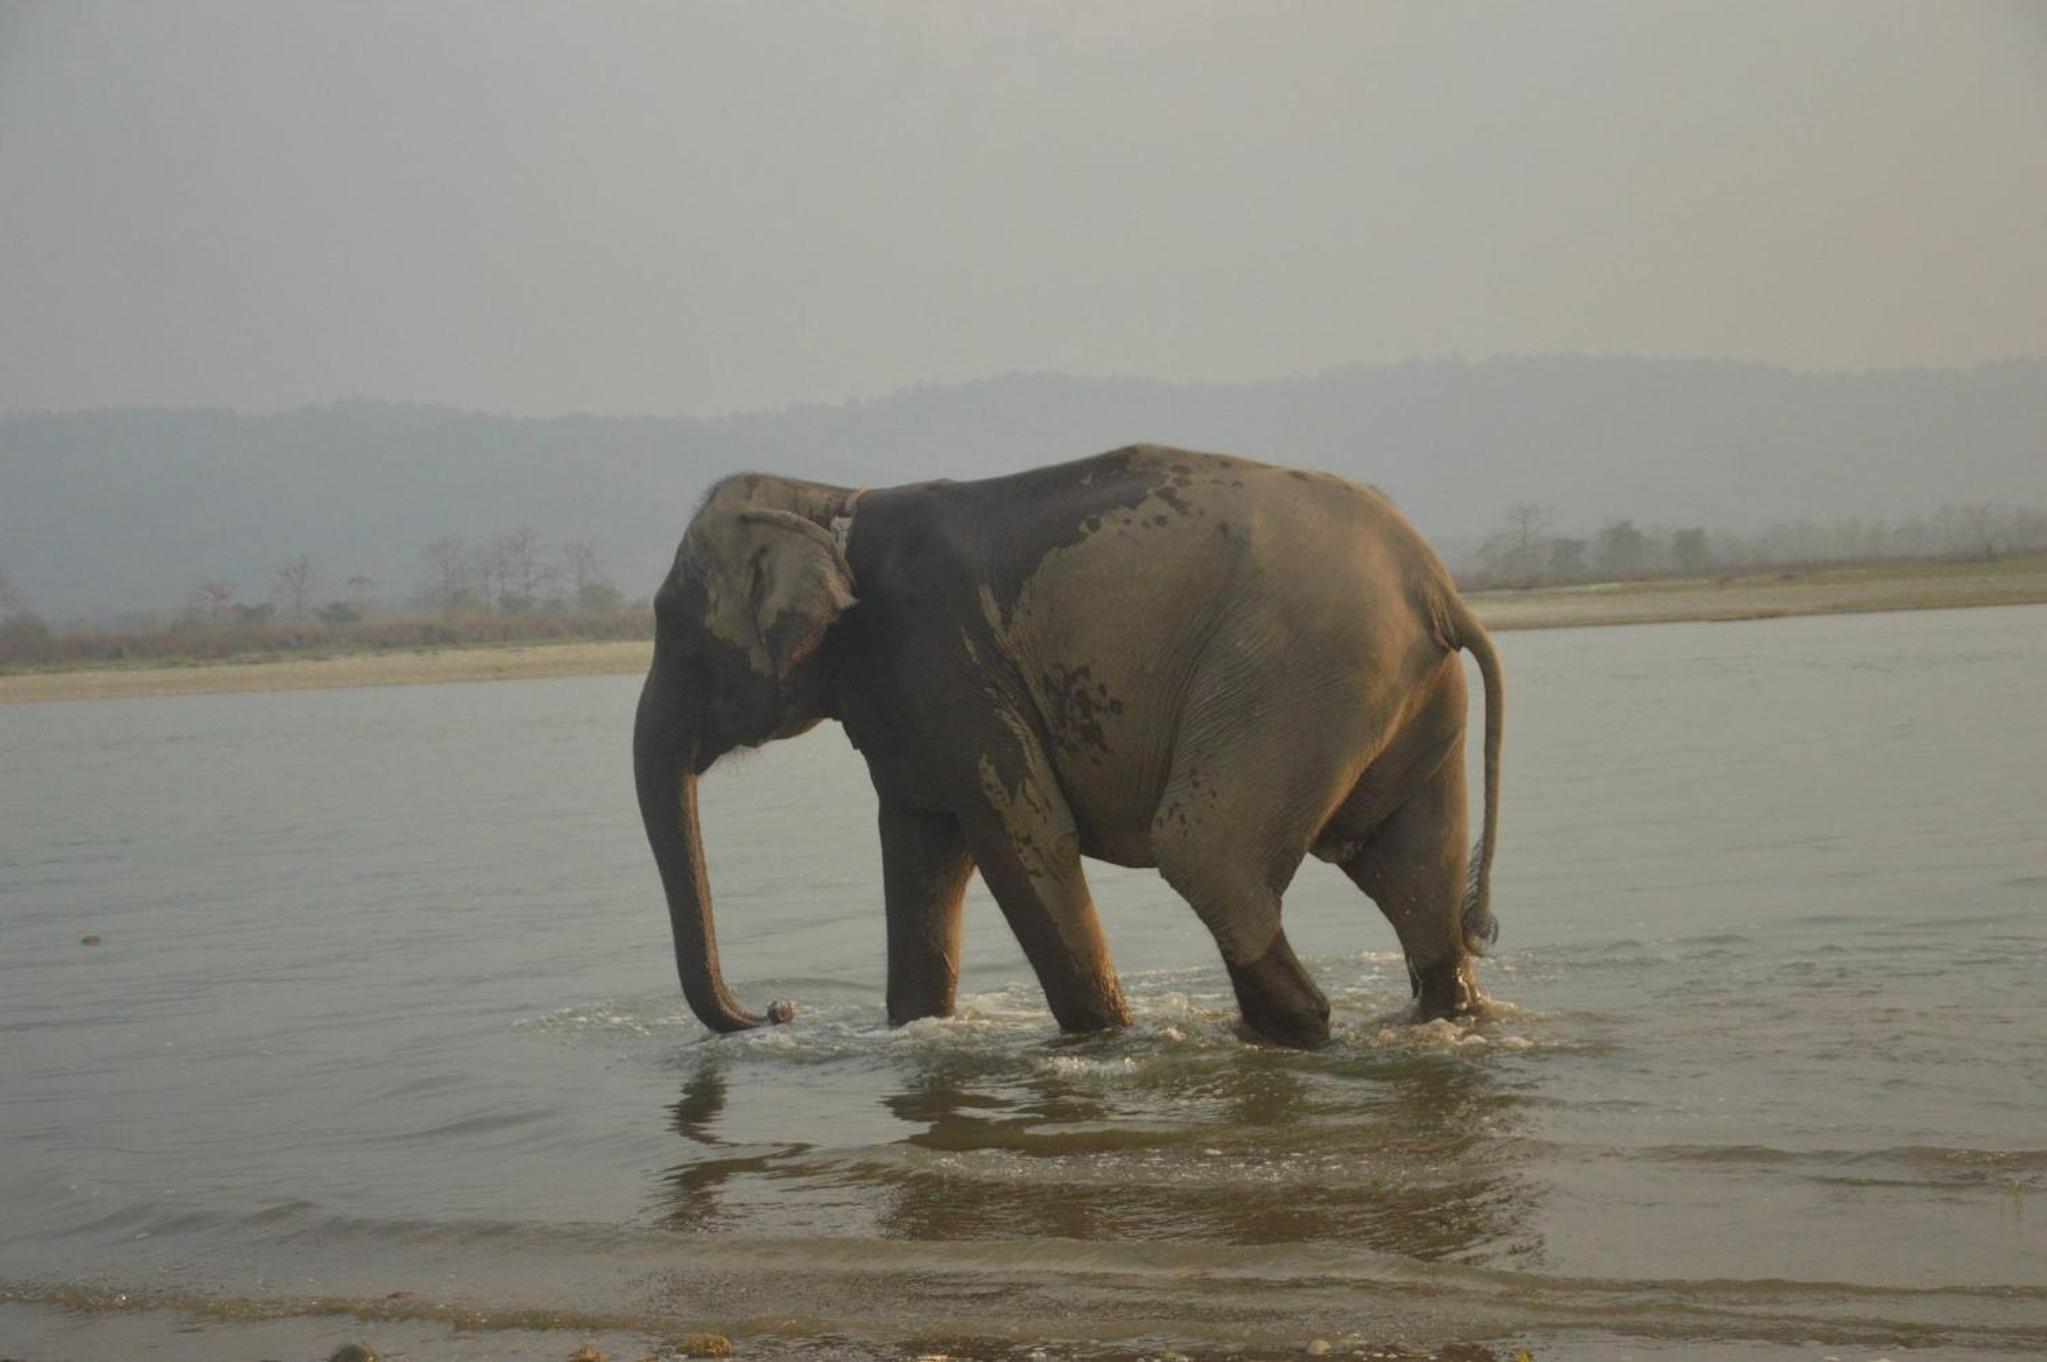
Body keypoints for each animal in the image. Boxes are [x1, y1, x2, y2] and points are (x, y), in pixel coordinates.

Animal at [633, 444, 1504, 1048]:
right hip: (1393, 690)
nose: (779, 1007)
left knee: (1204, 849)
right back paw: (1438, 1016)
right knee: (1407, 866)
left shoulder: (946, 655)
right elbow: (920, 849)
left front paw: (1101, 1038)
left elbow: (1020, 837)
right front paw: (915, 1031)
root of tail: (1436, 586)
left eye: (672, 628)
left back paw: (1297, 1029)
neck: (824, 498)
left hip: (1295, 674)